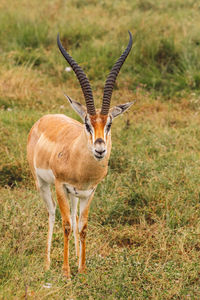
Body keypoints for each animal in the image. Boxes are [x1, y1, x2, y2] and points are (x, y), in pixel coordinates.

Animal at [25, 31, 134, 278]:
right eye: (87, 124)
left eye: (109, 123)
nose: (100, 149)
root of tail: (44, 119)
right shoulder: (60, 186)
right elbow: (65, 224)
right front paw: (66, 272)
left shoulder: (88, 192)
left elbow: (82, 226)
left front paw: (82, 269)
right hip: (42, 185)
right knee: (52, 214)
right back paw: (47, 263)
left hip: (74, 195)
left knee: (74, 219)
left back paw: (75, 257)